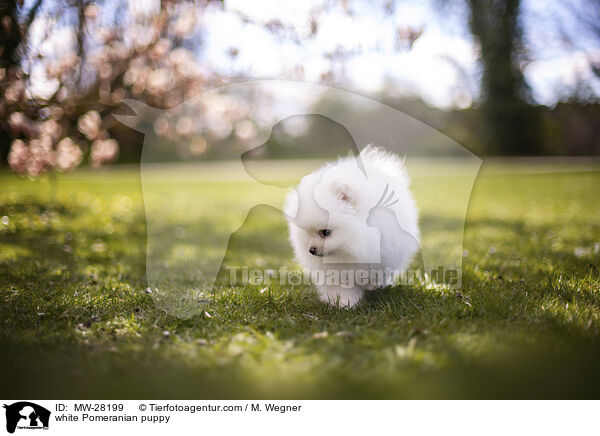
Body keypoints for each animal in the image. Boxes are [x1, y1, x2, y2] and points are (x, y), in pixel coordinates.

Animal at [284, 146, 418, 306]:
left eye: (326, 232)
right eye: (307, 232)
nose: (311, 250)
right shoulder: (337, 271)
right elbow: (343, 287)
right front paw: (345, 303)